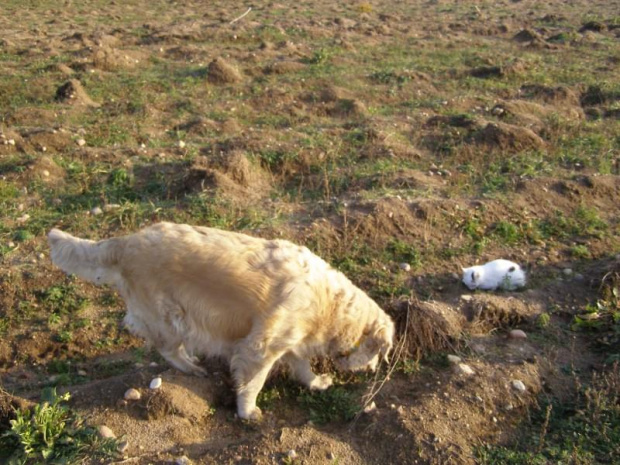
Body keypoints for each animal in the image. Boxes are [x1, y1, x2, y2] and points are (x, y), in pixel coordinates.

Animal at [49, 222, 398, 420]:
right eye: (382, 353)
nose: (374, 371)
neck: (332, 305)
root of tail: (124, 241)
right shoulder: (260, 347)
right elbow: (253, 383)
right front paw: (248, 412)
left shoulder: (291, 342)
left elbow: (301, 367)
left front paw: (315, 382)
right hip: (170, 316)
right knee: (168, 349)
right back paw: (193, 368)